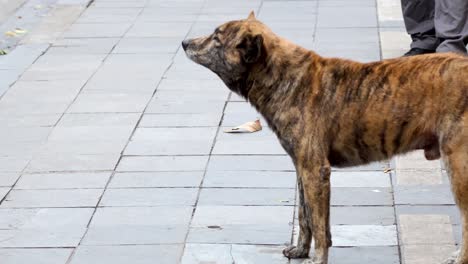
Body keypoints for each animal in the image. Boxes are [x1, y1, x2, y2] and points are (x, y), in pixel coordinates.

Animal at [182, 12, 468, 264]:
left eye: (217, 39)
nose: (184, 43)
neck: (284, 77)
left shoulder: (315, 170)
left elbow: (319, 224)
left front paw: (318, 258)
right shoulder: (302, 168)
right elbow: (304, 216)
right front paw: (300, 250)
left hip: (457, 168)